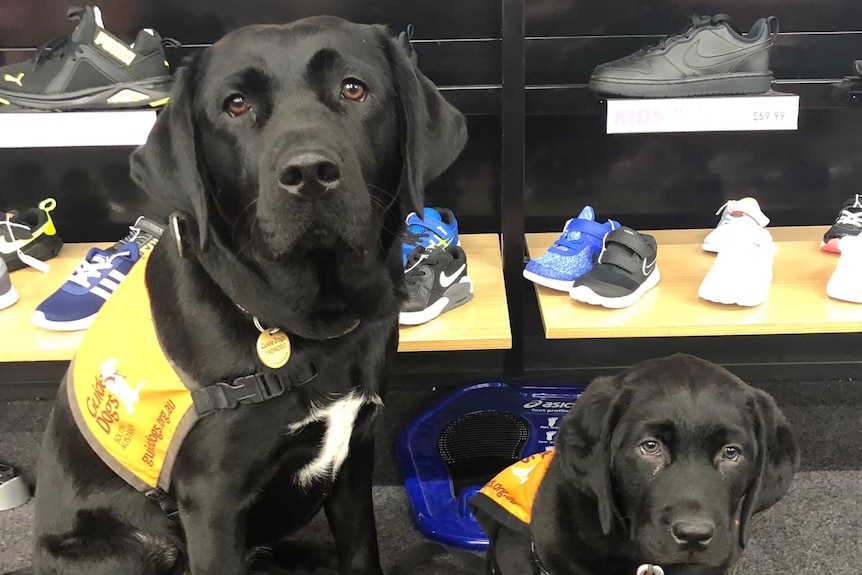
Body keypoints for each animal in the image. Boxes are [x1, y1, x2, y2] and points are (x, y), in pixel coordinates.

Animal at [30, 14, 466, 575]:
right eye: (235, 104)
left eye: (354, 89)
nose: (309, 174)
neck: (312, 325)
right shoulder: (212, 502)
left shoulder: (354, 455)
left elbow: (361, 550)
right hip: (136, 549)